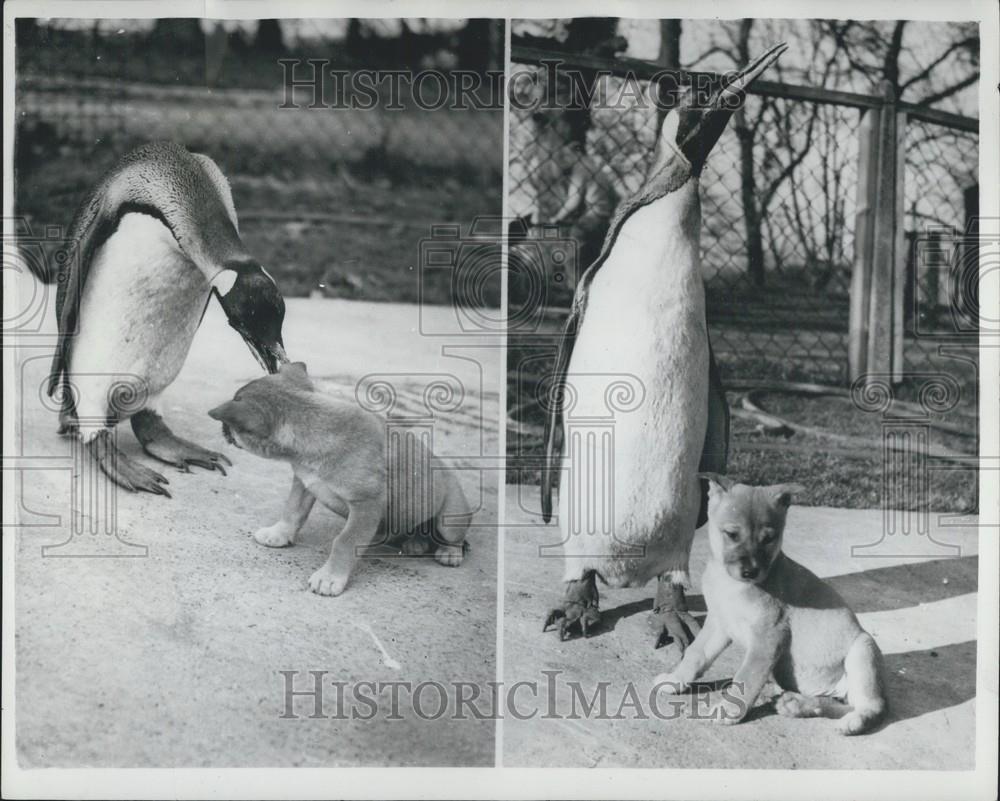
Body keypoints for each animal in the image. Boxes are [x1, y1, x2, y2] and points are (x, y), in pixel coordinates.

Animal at [208, 362, 472, 592]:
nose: (223, 431)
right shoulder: (304, 483)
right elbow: (292, 511)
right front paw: (279, 534)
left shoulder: (366, 504)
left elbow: (344, 541)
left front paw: (330, 577)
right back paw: (415, 542)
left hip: (450, 518)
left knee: (453, 536)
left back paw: (449, 552)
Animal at [660, 472, 888, 736]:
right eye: (732, 534)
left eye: (769, 539)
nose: (750, 571)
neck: (730, 585)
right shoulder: (719, 624)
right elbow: (695, 654)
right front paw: (675, 679)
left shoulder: (768, 638)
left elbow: (745, 678)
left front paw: (728, 711)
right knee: (837, 704)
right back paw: (797, 704)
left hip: (862, 649)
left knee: (873, 706)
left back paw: (851, 721)